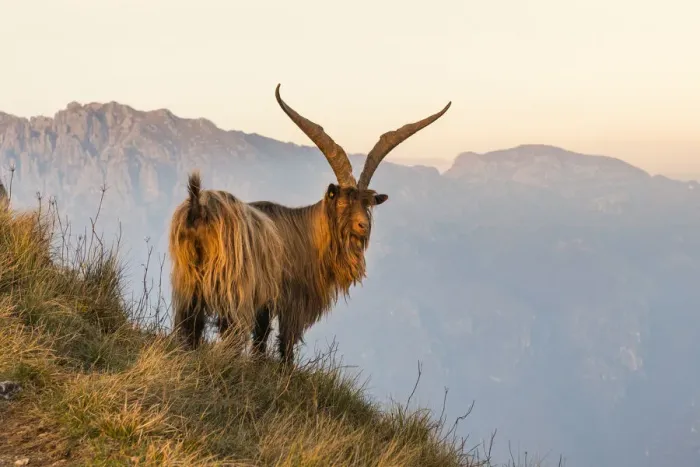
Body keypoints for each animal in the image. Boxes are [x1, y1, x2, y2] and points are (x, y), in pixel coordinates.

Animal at [250, 85, 451, 364]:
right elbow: (281, 342)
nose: (363, 226)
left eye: (367, 205)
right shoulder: (288, 301)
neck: (307, 234)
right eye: (343, 203)